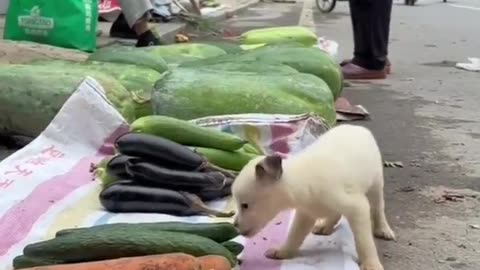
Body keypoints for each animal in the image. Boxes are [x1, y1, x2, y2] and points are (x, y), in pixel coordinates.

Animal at [232, 124, 394, 270]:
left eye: (245, 205)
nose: (235, 225)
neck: (301, 179)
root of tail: (357, 127)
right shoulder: (305, 213)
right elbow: (294, 235)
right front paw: (283, 251)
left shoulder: (357, 208)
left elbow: (364, 241)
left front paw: (371, 264)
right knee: (335, 213)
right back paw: (325, 226)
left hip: (376, 184)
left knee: (378, 208)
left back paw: (383, 229)